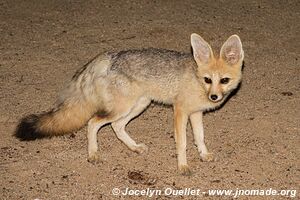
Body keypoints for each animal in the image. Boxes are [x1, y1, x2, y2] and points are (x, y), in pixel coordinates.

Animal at [14, 33, 244, 176]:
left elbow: (200, 137)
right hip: (124, 108)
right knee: (93, 122)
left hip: (139, 105)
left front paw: (203, 154)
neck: (197, 80)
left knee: (116, 127)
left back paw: (134, 147)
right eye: (208, 80)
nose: (214, 97)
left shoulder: (196, 113)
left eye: (224, 80)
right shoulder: (180, 111)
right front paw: (183, 166)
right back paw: (93, 154)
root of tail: (109, 55)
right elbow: (183, 143)